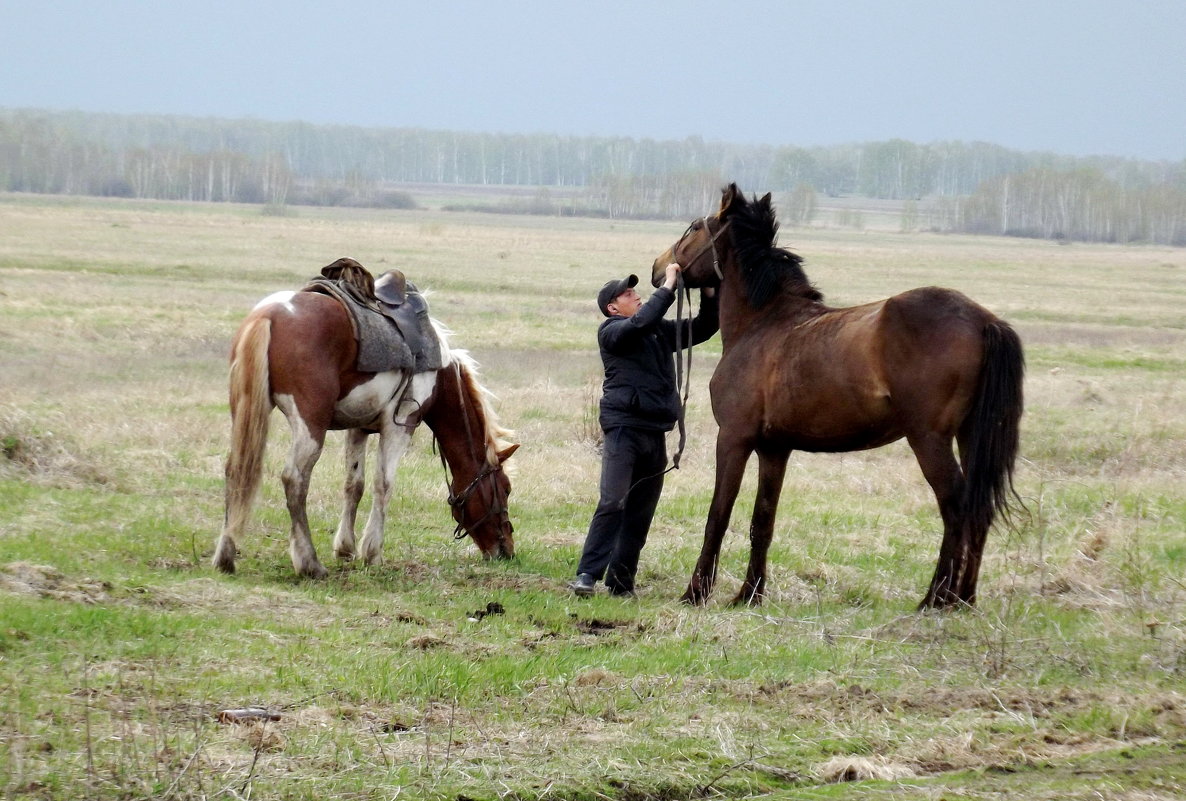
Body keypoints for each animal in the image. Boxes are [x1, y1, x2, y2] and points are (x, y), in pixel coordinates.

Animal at [212, 287, 514, 576]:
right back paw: (309, 563)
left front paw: (345, 548)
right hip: (310, 425)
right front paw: (372, 552)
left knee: (236, 470)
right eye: (506, 489)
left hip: (246, 413)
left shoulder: (358, 428)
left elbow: (354, 485)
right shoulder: (400, 426)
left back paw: (225, 556)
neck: (438, 375)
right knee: (294, 480)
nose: (507, 550)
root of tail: (268, 315)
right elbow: (384, 485)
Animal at [654, 182, 1024, 607]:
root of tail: (984, 321)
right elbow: (762, 521)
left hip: (929, 440)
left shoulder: (733, 438)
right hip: (970, 436)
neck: (762, 323)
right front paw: (749, 594)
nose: (657, 268)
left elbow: (719, 514)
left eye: (694, 227)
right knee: (979, 506)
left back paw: (935, 598)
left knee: (956, 506)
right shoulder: (774, 449)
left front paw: (696, 592)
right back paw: (963, 598)